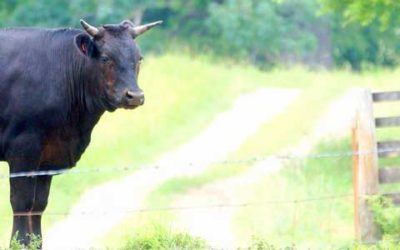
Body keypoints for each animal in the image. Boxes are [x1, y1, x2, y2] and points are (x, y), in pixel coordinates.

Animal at [0, 19, 161, 246]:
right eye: (105, 58)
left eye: (139, 58)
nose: (135, 96)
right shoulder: (23, 149)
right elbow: (22, 203)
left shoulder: (48, 158)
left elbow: (38, 205)